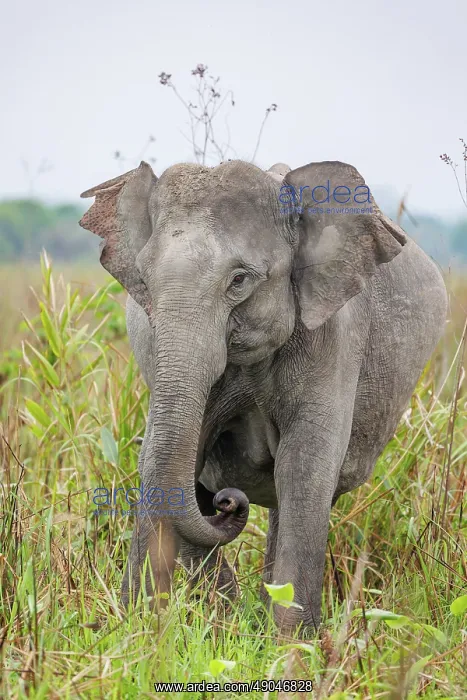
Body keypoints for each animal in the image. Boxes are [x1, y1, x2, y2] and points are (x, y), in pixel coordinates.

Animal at [79, 158, 447, 631]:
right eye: (142, 280)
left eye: (239, 280)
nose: (228, 503)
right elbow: (170, 459)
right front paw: (141, 630)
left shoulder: (333, 337)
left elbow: (303, 466)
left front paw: (294, 641)